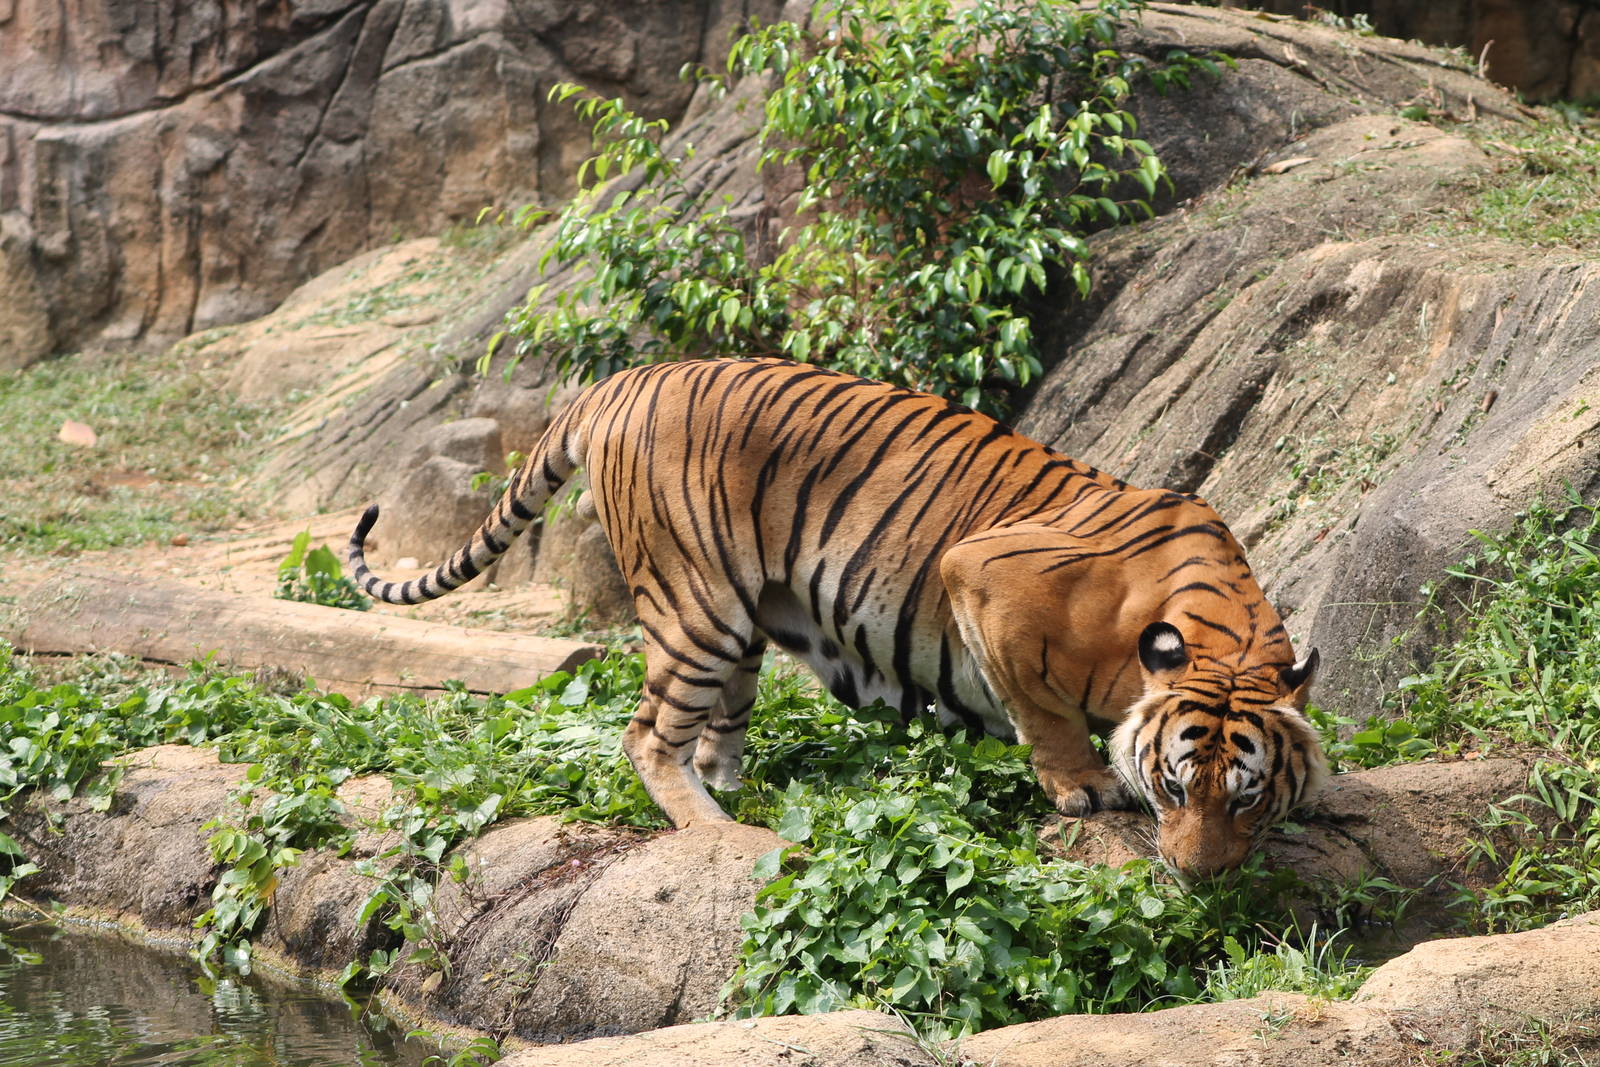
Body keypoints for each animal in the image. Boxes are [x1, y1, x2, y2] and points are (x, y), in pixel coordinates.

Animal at [348, 357, 1328, 878]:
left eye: (1245, 796)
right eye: (1174, 786)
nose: (1200, 878)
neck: (1223, 626)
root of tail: (622, 377)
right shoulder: (983, 575)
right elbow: (1041, 707)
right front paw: (1081, 782)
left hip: (741, 621)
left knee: (712, 734)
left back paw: (744, 795)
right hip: (694, 603)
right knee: (647, 734)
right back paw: (719, 830)